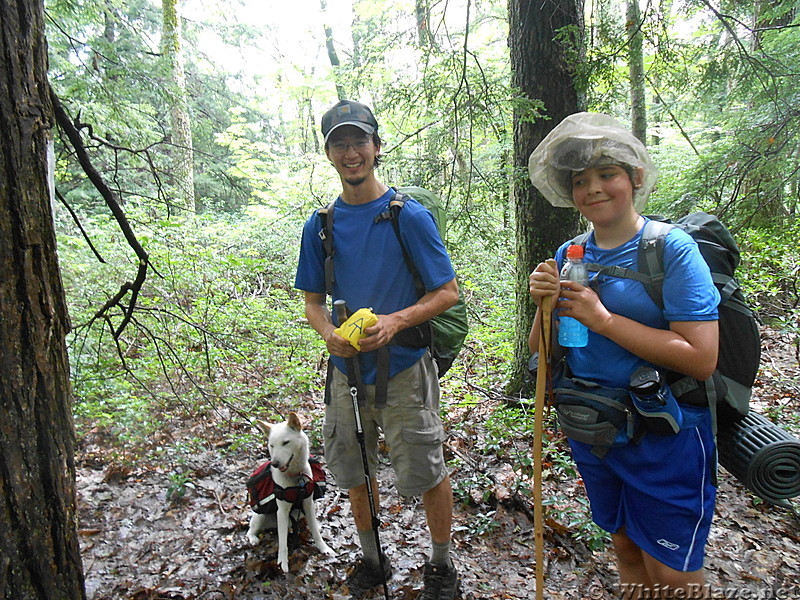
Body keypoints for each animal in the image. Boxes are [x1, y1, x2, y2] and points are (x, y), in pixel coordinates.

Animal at [244, 412, 332, 572]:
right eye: (271, 445)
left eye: (285, 442)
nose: (275, 464)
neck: (296, 477)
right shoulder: (282, 511)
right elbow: (283, 543)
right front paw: (282, 563)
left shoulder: (308, 504)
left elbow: (316, 532)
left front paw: (324, 548)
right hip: (260, 517)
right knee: (250, 530)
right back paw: (254, 538)